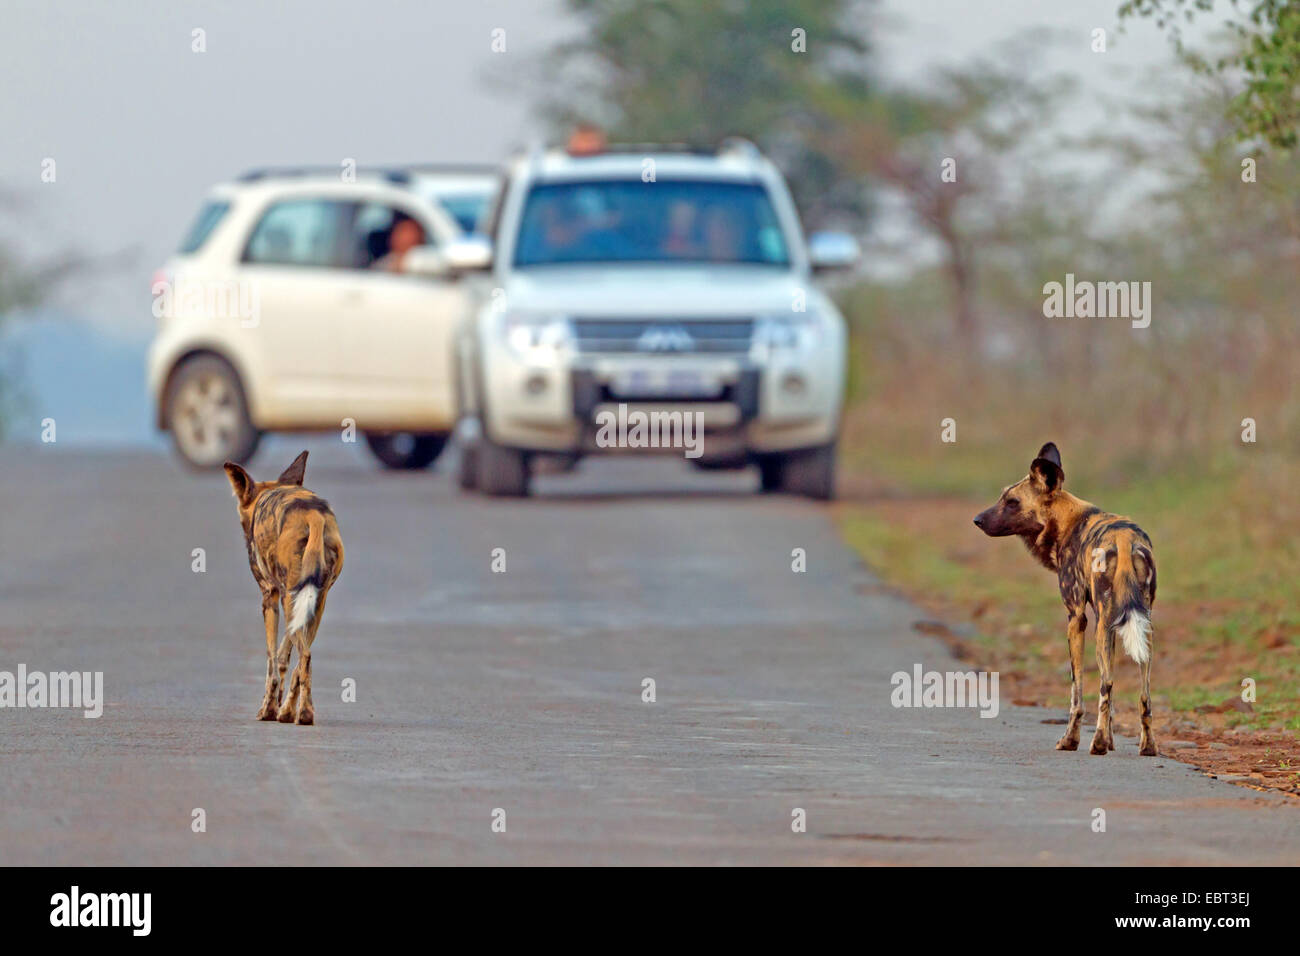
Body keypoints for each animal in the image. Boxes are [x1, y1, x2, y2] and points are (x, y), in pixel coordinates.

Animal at [224, 450, 343, 723]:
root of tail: (314, 515)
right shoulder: (298, 601)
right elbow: (283, 656)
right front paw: (278, 707)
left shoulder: (270, 596)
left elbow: (271, 660)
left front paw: (267, 708)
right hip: (313, 602)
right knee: (303, 660)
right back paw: (294, 711)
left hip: (291, 601)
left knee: (305, 656)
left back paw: (299, 713)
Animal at [977, 444, 1159, 759]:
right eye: (1003, 497)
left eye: (1012, 502)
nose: (977, 520)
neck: (1067, 522)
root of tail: (1125, 541)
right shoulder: (1112, 623)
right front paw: (1112, 741)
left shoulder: (1076, 618)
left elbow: (1077, 692)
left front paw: (1071, 740)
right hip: (1138, 627)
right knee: (1144, 694)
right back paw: (1147, 746)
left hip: (1101, 628)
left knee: (1106, 683)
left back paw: (1096, 744)